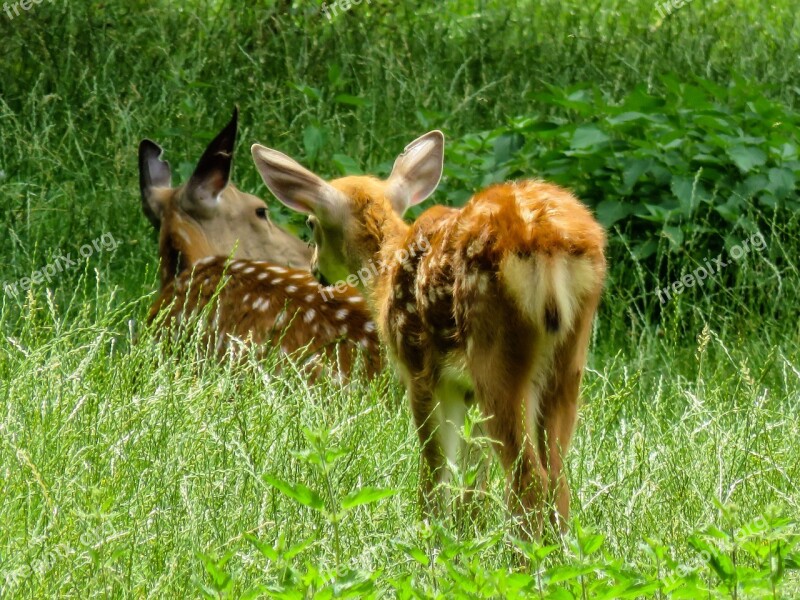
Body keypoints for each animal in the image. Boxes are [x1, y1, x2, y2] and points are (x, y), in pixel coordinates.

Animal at [250, 131, 608, 536]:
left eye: (310, 222)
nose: (314, 269)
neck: (385, 273)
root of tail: (548, 244)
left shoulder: (419, 367)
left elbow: (435, 466)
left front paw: (430, 535)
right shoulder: (465, 388)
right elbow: (473, 475)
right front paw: (466, 535)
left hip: (496, 352)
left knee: (530, 478)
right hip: (568, 359)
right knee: (558, 477)